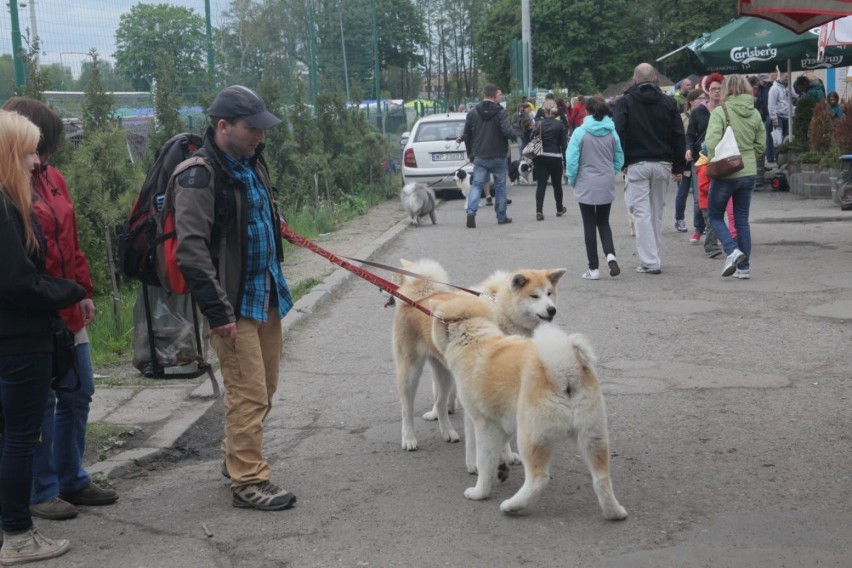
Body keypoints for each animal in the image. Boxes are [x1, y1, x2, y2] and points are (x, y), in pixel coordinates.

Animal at [392, 260, 564, 452]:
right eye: (534, 296)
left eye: (549, 293)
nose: (552, 310)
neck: (502, 311)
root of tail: (418, 299)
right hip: (410, 372)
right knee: (407, 408)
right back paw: (409, 438)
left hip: (442, 371)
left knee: (440, 401)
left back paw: (447, 431)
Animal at [432, 296, 624, 520]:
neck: (471, 338)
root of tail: (565, 370)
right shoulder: (503, 420)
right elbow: (495, 450)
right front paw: (501, 465)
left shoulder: (481, 421)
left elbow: (481, 457)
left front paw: (480, 489)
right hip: (593, 437)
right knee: (602, 478)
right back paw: (615, 512)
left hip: (530, 437)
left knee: (538, 479)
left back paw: (512, 505)